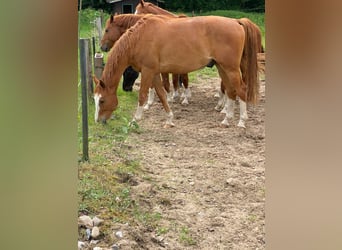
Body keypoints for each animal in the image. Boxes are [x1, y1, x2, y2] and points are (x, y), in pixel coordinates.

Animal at [93, 14, 260, 127]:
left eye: (102, 100)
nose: (98, 121)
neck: (139, 38)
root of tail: (236, 22)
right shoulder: (154, 73)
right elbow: (162, 95)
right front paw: (169, 119)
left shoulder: (147, 71)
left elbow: (143, 95)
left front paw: (135, 120)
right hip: (222, 68)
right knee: (231, 91)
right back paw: (226, 119)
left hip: (231, 69)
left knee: (242, 90)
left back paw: (241, 121)